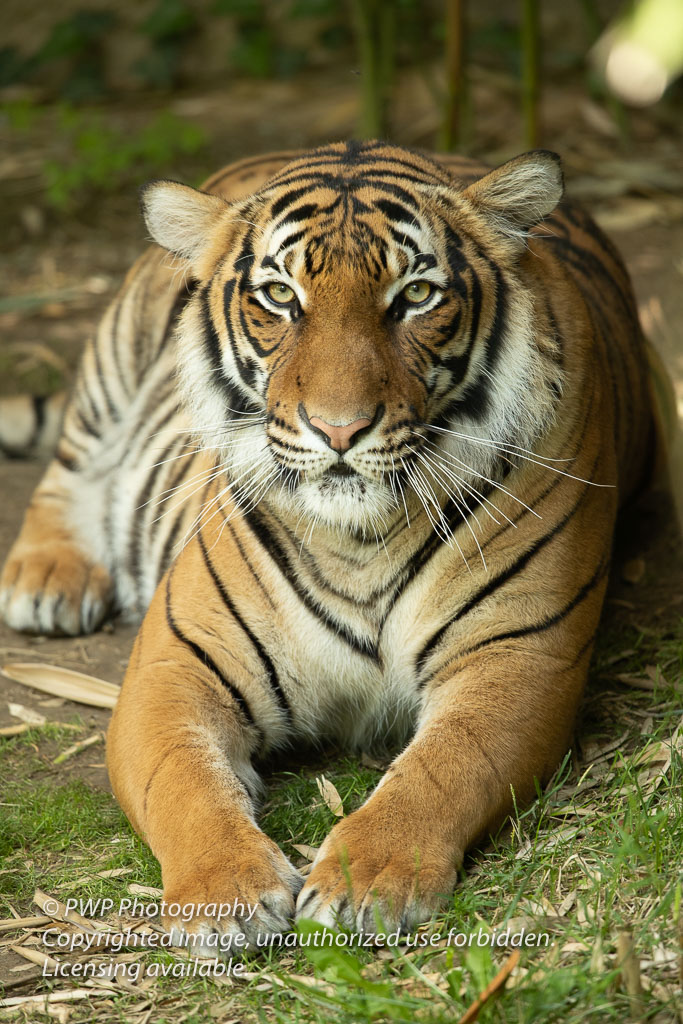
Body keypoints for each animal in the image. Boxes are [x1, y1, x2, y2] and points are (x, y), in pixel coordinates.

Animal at [0, 140, 659, 946]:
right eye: (281, 297)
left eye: (416, 295)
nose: (339, 429)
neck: (360, 538)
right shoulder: (175, 665)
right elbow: (183, 781)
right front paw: (224, 893)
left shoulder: (517, 656)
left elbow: (441, 770)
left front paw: (366, 882)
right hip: (114, 360)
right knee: (69, 463)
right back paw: (48, 579)